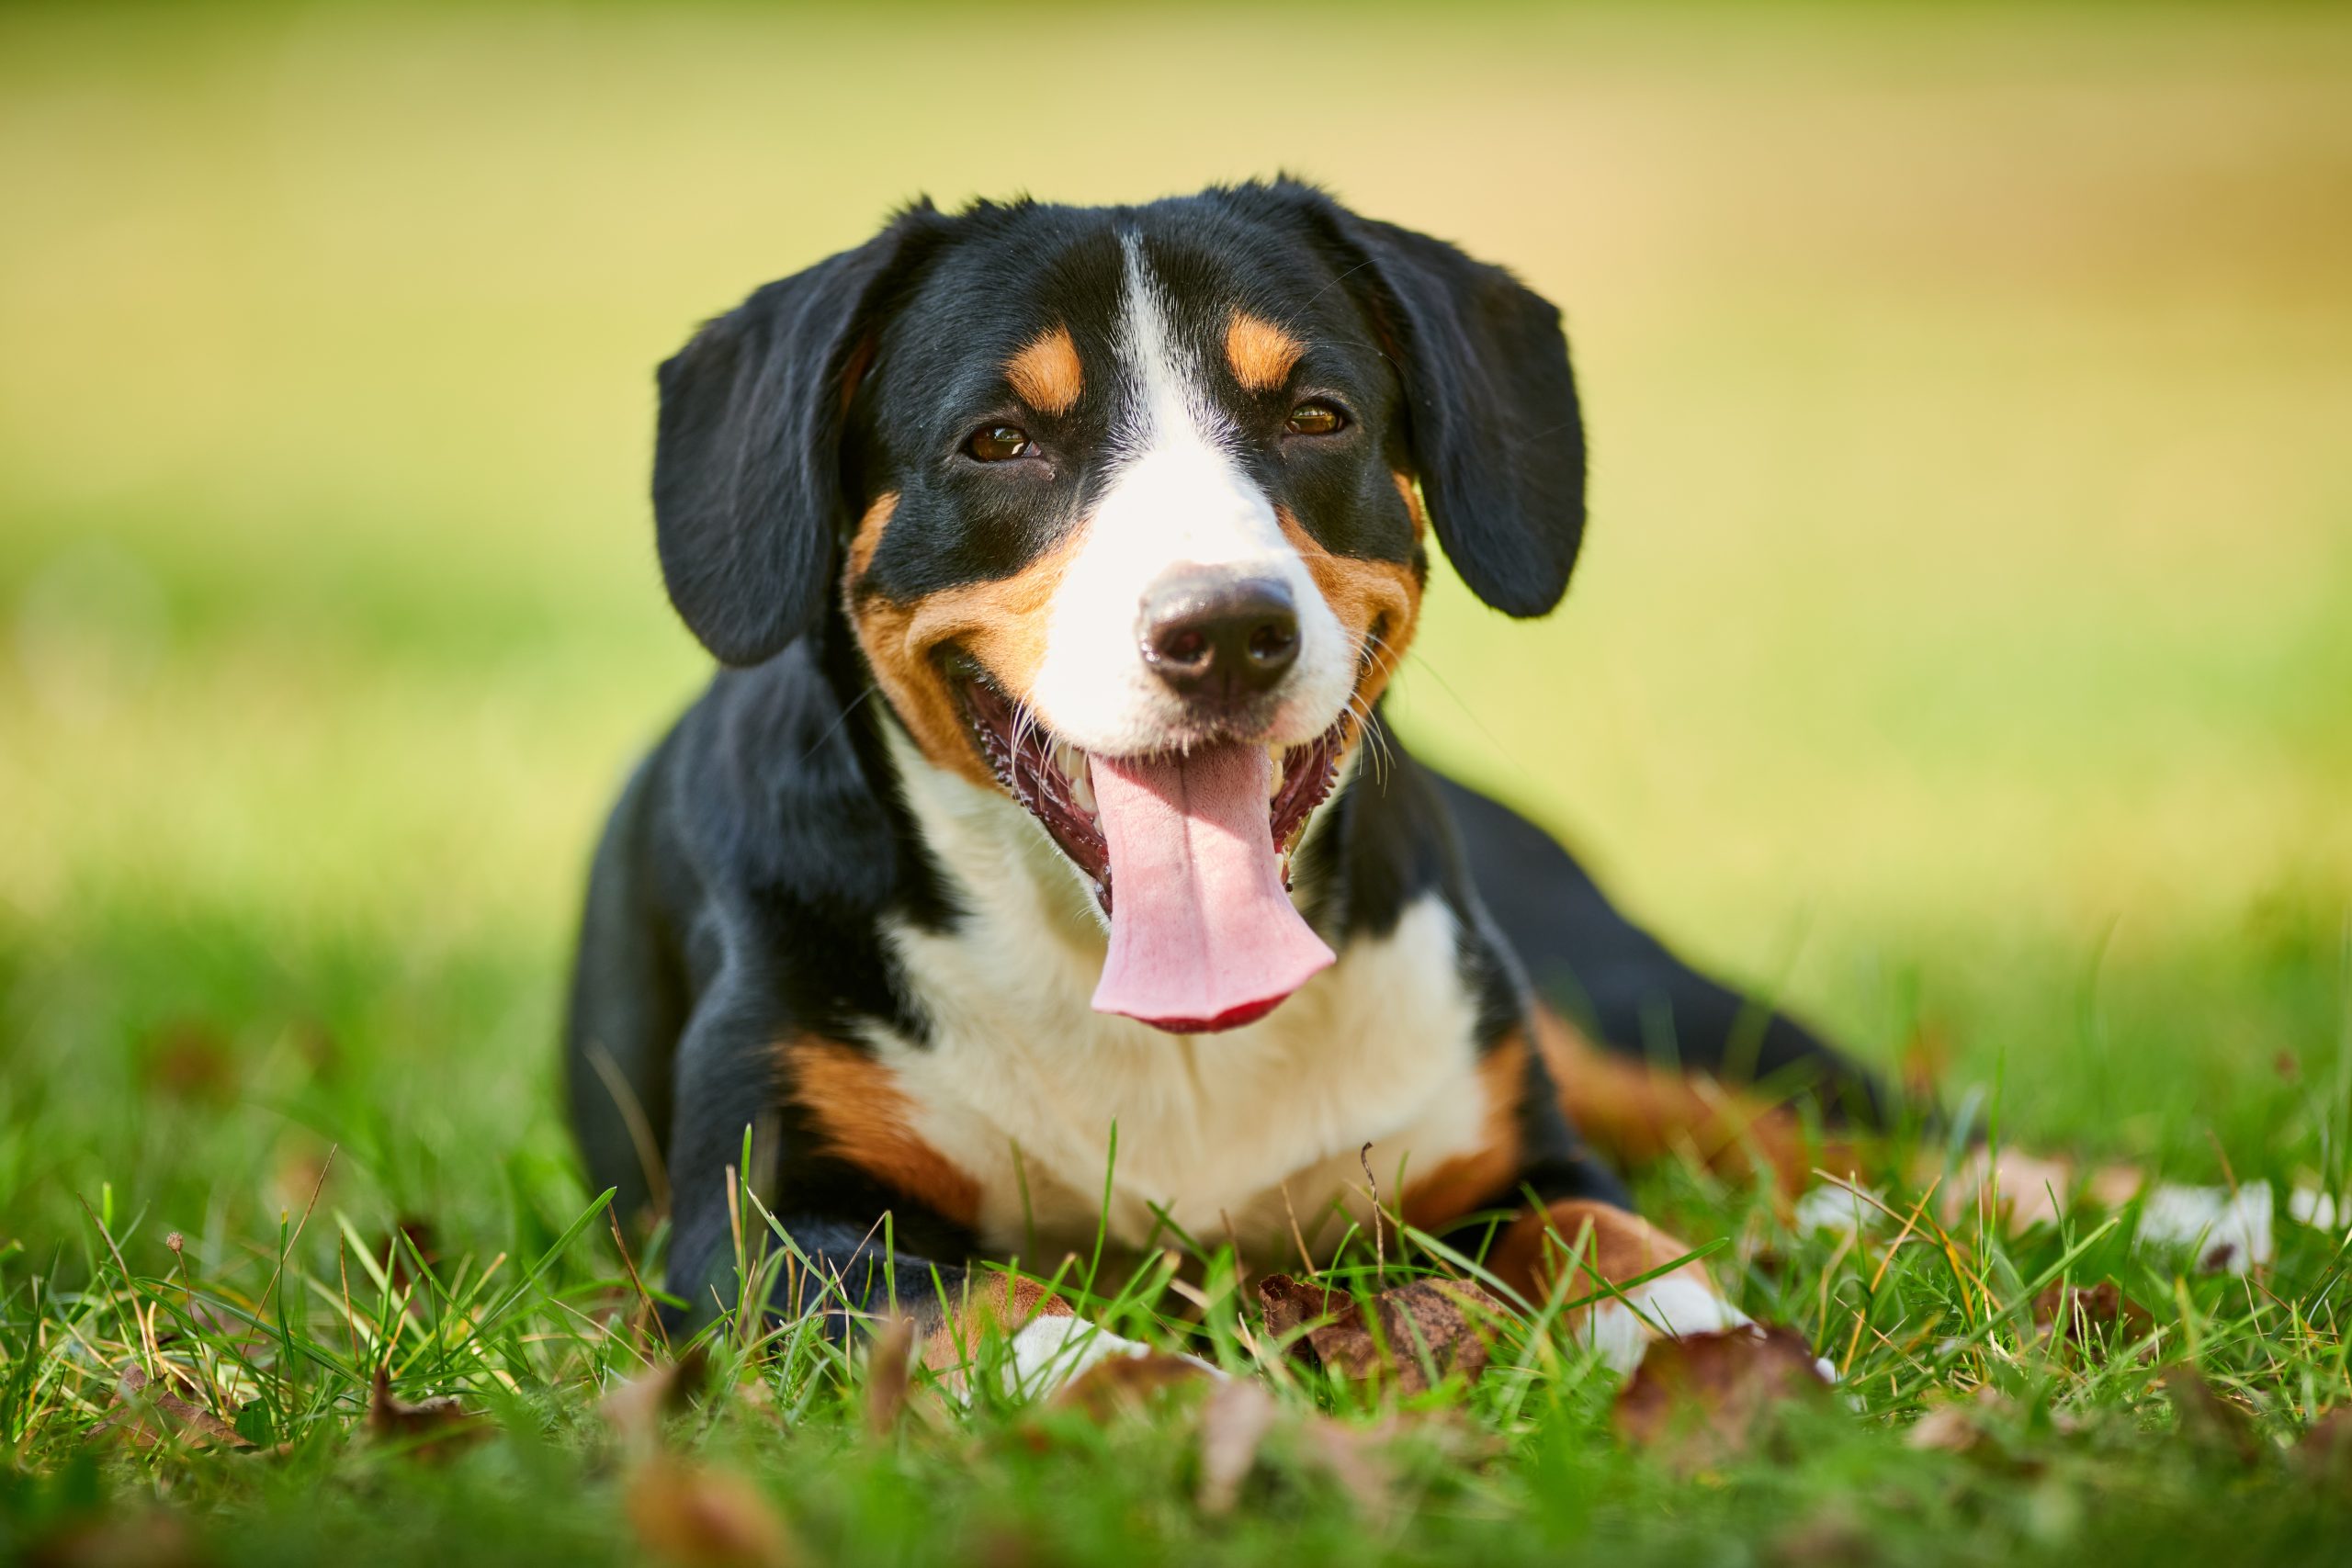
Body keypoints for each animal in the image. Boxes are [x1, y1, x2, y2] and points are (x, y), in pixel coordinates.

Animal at [560, 177, 1900, 1392]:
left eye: (1316, 415)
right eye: (999, 440)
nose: (1224, 629)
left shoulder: (1518, 1159)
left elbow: (1618, 1244)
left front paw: (1734, 1362)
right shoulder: (773, 1227)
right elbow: (1002, 1315)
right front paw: (1142, 1399)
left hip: (1622, 1000)